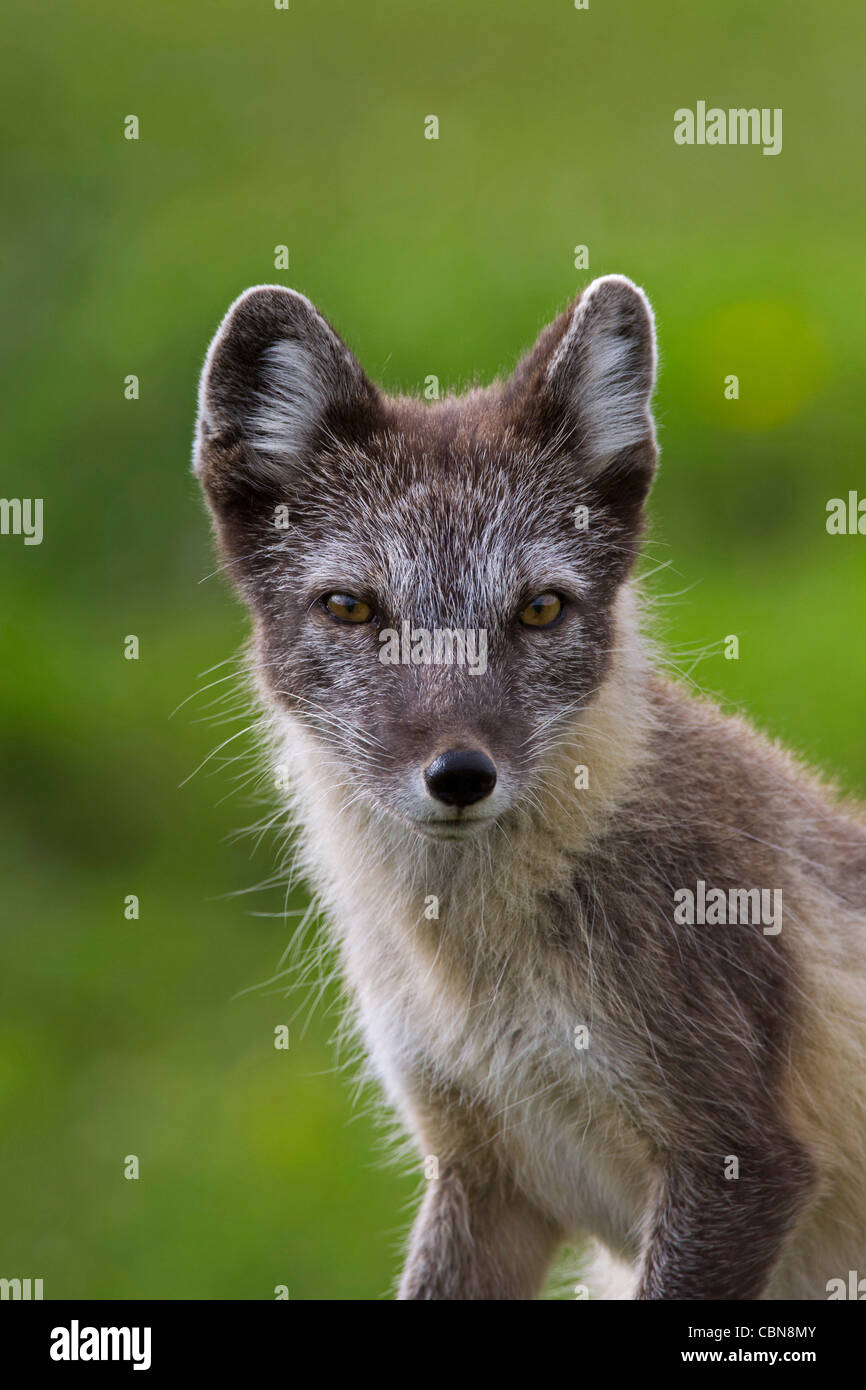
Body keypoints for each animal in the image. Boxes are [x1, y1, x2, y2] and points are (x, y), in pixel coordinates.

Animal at [194, 276, 866, 1295]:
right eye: (351, 608)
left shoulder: (741, 1162)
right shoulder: (481, 1172)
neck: (474, 975)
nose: (460, 776)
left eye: (541, 609)